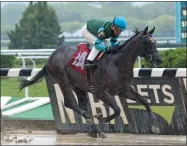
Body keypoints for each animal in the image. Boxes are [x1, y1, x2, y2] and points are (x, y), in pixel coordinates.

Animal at [19, 26, 162, 138]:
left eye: (155, 41)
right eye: (146, 42)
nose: (158, 60)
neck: (116, 64)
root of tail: (51, 56)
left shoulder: (124, 90)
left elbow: (144, 100)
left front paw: (154, 124)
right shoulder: (101, 93)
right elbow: (117, 109)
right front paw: (102, 117)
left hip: (78, 86)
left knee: (81, 104)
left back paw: (94, 129)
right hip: (63, 81)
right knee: (70, 103)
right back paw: (90, 121)